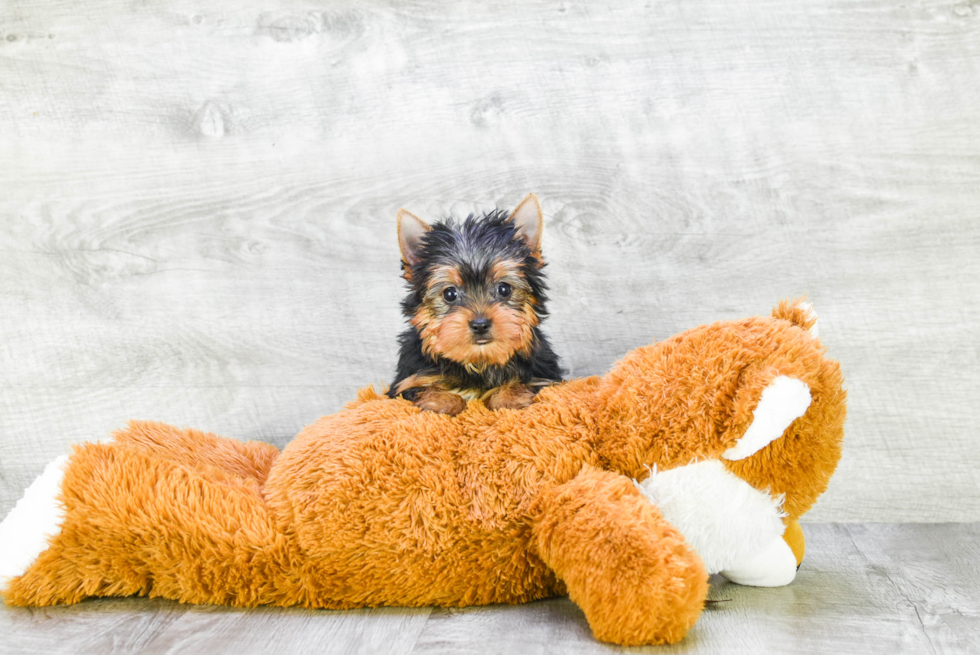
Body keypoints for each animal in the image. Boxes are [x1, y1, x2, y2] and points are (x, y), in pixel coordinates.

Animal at [388, 193, 564, 416]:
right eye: (450, 294)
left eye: (504, 289)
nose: (480, 325)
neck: (478, 362)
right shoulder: (407, 383)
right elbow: (433, 393)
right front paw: (443, 403)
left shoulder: (544, 376)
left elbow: (513, 390)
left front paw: (510, 398)